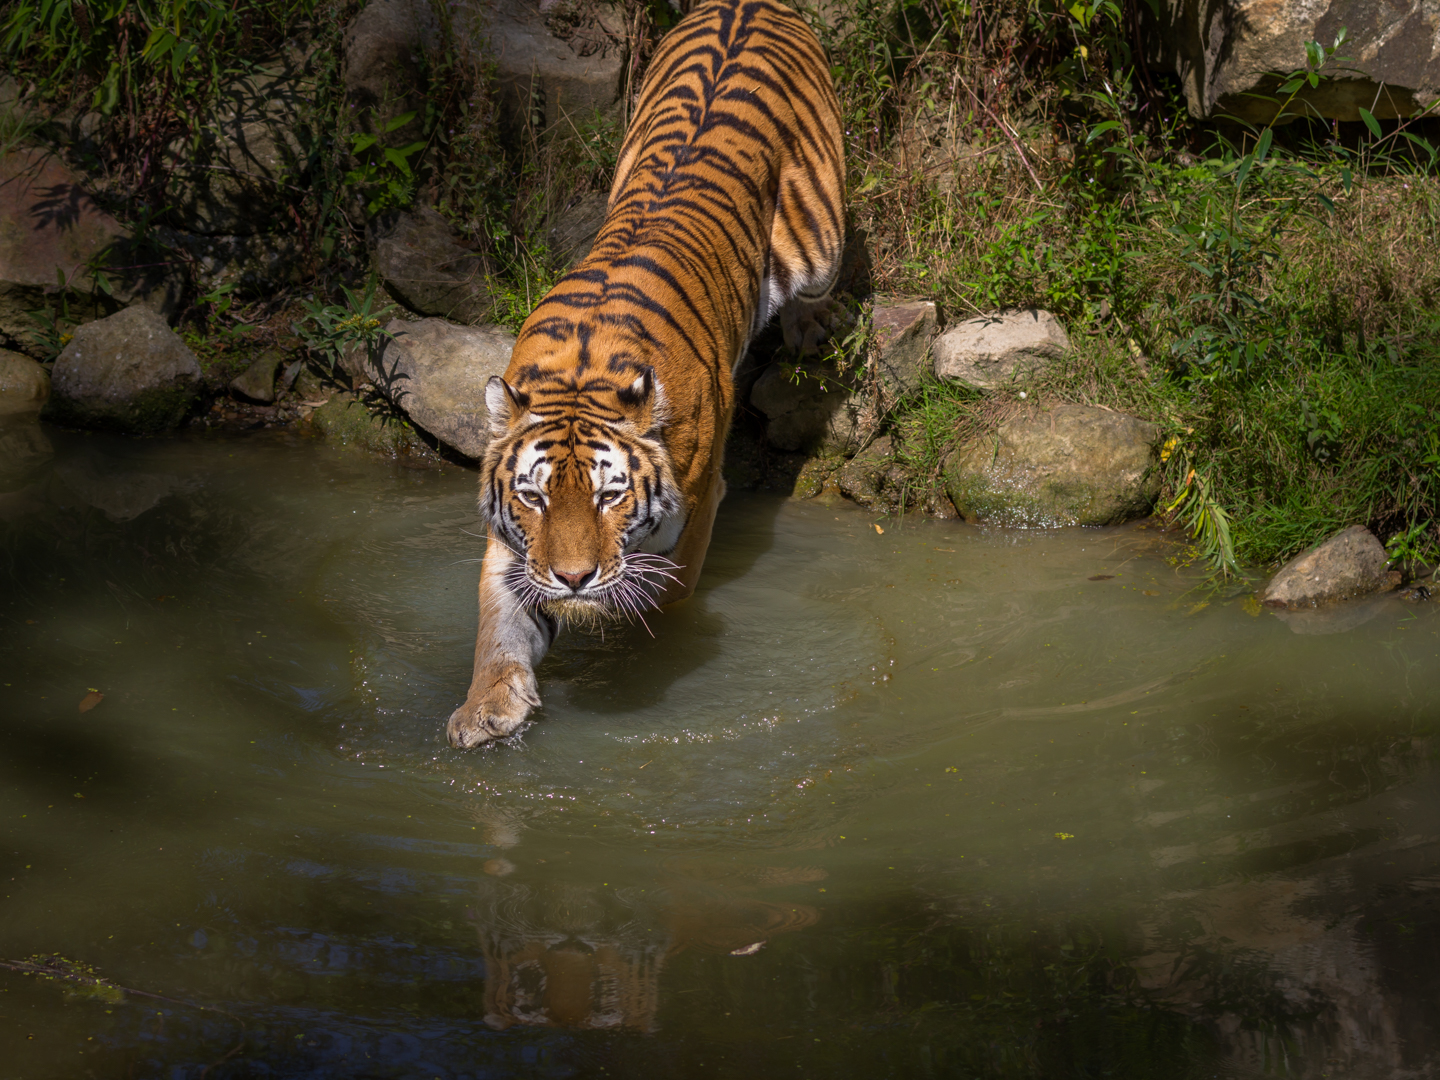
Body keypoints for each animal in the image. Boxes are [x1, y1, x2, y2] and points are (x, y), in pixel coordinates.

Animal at [449, 0, 840, 754]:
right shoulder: (513, 545)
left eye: (611, 496)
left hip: (822, 241)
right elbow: (497, 625)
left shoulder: (695, 513)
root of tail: (750, 5)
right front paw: (487, 708)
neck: (580, 377)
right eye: (534, 497)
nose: (573, 579)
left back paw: (809, 332)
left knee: (815, 289)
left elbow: (656, 606)